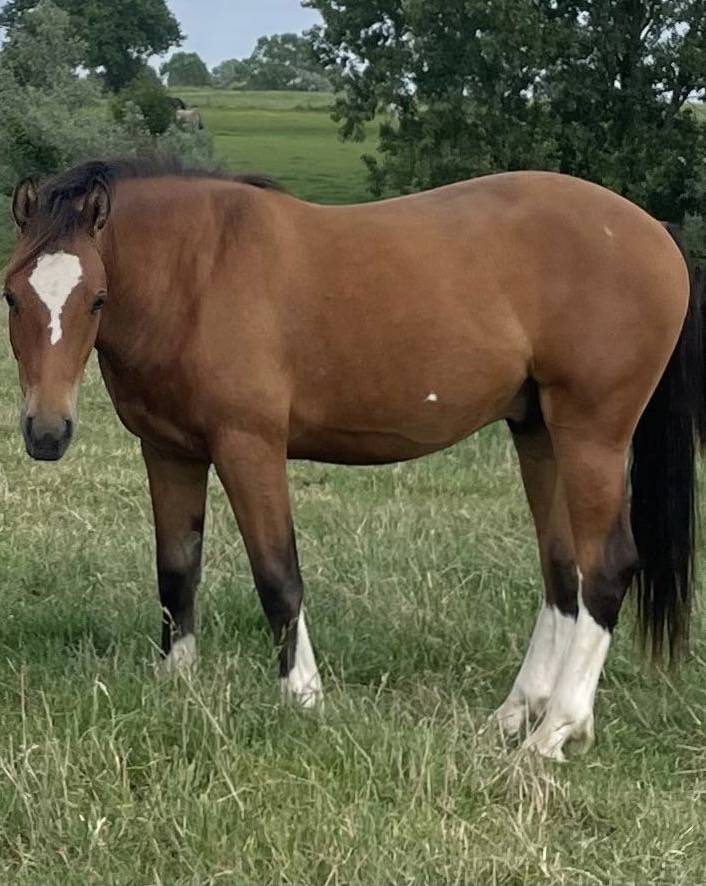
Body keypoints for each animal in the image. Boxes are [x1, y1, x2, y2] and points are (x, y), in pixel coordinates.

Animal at [3, 157, 704, 761]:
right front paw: (177, 686)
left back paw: (557, 730)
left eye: (96, 298)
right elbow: (177, 572)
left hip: (592, 436)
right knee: (562, 572)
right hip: (539, 434)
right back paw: (516, 714)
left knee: (606, 569)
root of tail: (654, 232)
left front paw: (304, 697)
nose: (47, 431)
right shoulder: (169, 452)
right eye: (12, 296)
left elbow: (278, 575)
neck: (197, 273)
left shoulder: (249, 446)